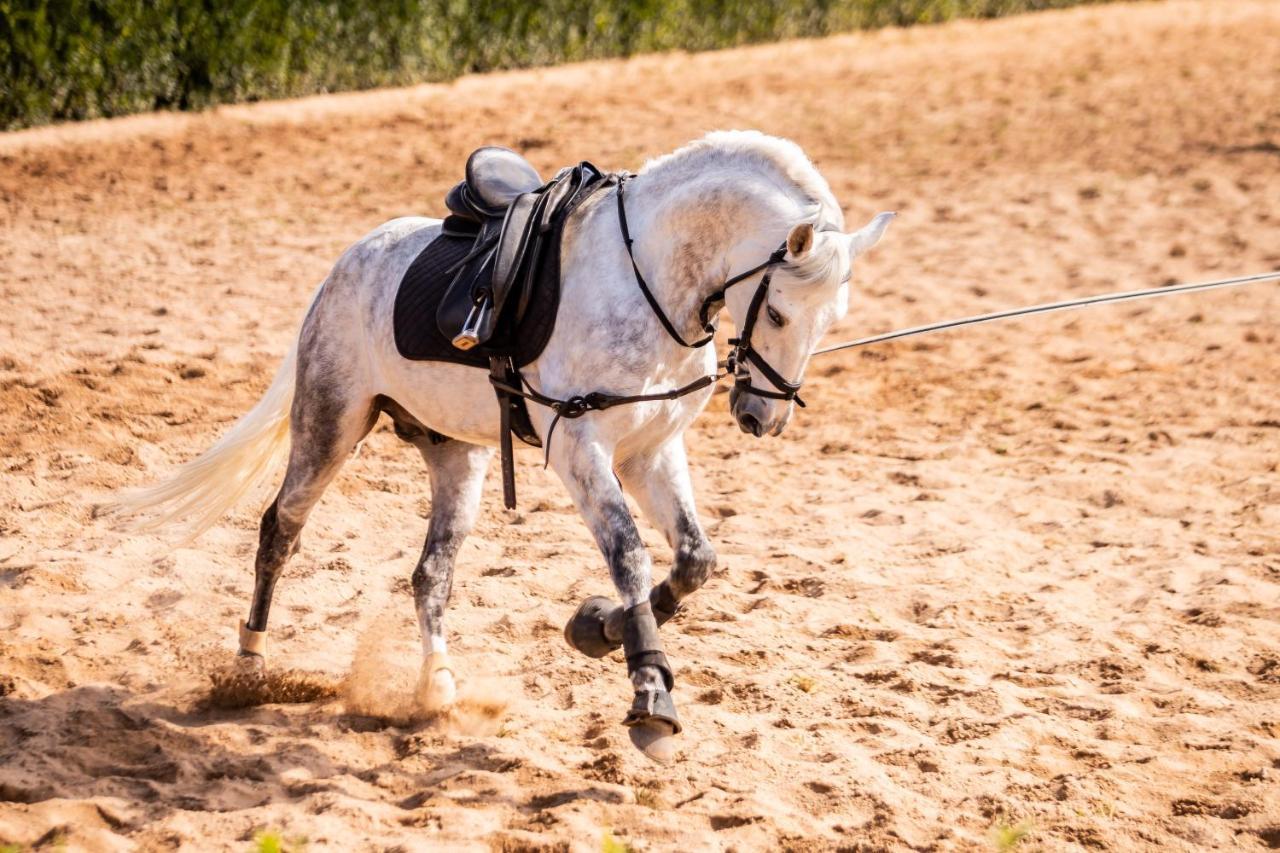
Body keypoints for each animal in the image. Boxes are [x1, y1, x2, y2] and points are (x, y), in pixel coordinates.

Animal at [110, 129, 890, 753]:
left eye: (836, 317)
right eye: (780, 312)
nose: (764, 417)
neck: (649, 278)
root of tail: (345, 264)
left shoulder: (651, 450)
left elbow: (695, 559)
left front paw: (598, 628)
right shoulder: (579, 448)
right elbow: (631, 556)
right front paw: (649, 694)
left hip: (459, 455)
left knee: (431, 573)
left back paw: (436, 687)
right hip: (330, 427)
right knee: (281, 529)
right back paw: (249, 667)